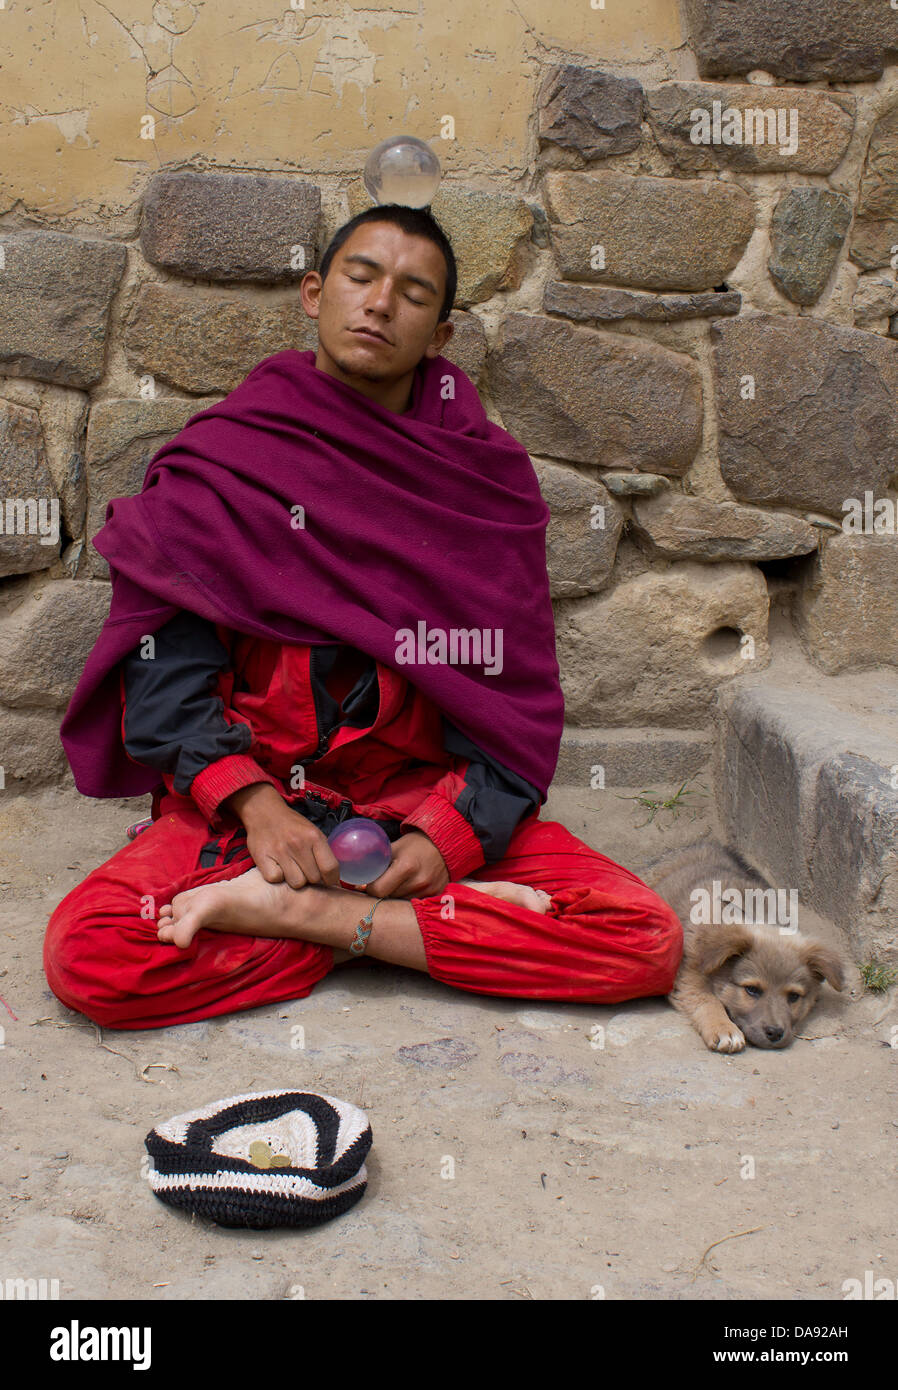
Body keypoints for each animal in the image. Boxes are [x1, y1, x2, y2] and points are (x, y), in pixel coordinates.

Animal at [647, 834, 845, 1050]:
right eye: (751, 990)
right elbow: (707, 1001)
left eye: (794, 996)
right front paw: (723, 1028)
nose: (775, 1033)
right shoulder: (688, 977)